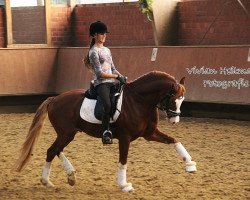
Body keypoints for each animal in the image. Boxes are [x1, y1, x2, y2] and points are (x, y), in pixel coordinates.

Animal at [14, 70, 197, 192]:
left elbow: (175, 140)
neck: (139, 100)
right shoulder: (125, 137)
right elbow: (123, 160)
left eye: (183, 99)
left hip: (67, 133)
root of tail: (54, 99)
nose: (175, 120)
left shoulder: (149, 134)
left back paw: (70, 176)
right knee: (52, 150)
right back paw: (47, 181)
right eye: (174, 99)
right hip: (66, 133)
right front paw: (124, 185)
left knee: (56, 150)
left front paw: (190, 164)